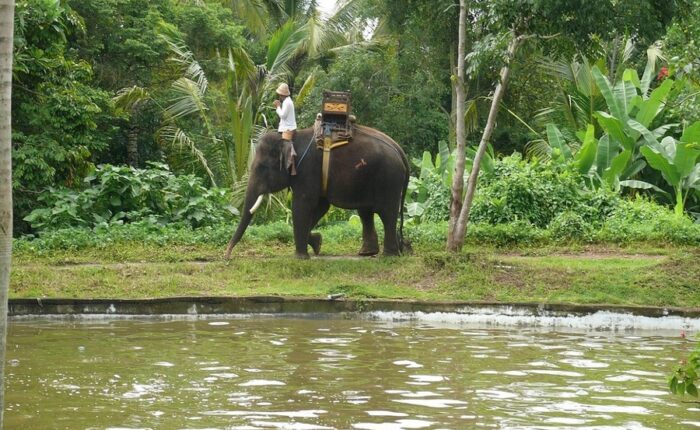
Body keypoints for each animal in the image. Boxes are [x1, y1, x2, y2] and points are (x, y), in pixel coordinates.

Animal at [224, 124, 410, 258]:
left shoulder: (307, 170)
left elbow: (302, 205)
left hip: (389, 179)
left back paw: (389, 256)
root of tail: (401, 151)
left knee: (387, 213)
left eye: (262, 167)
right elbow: (320, 207)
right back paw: (369, 253)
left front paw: (301, 257)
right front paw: (317, 244)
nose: (227, 256)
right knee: (366, 212)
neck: (291, 138)